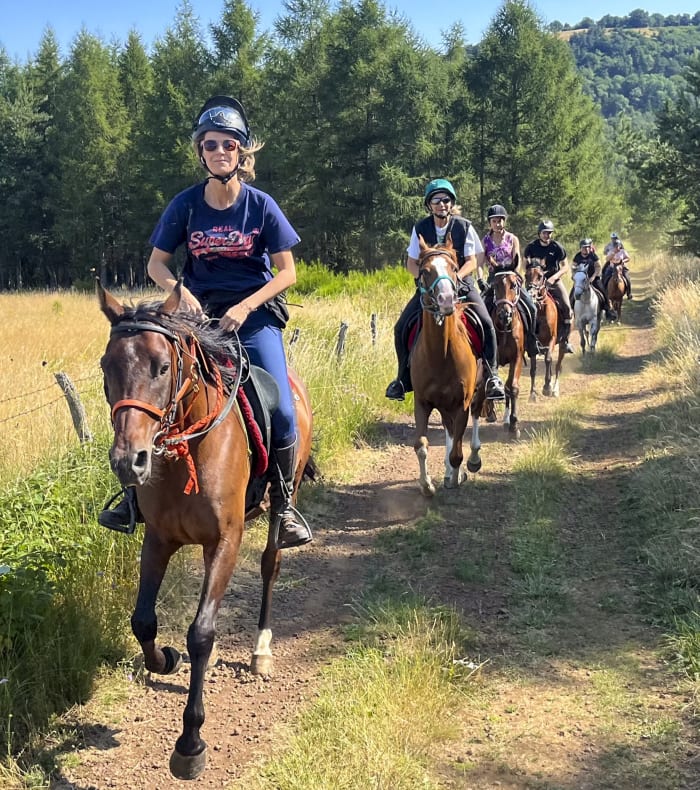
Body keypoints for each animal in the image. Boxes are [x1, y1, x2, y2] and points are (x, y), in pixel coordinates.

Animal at [97, 280, 314, 780]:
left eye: (161, 366)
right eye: (106, 367)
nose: (129, 461)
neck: (190, 450)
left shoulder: (226, 542)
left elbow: (200, 632)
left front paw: (190, 744)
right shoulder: (158, 540)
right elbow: (143, 621)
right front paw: (165, 659)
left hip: (282, 500)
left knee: (271, 565)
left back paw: (261, 649)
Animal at [410, 237, 486, 497]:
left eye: (453, 268)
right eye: (425, 271)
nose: (445, 300)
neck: (440, 355)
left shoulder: (462, 403)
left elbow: (457, 452)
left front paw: (455, 477)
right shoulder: (422, 402)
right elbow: (421, 444)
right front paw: (427, 485)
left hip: (480, 390)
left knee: (474, 419)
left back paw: (471, 462)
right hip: (443, 405)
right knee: (449, 430)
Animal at [525, 260, 565, 399]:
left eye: (540, 276)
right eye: (526, 275)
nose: (531, 294)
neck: (541, 311)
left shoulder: (552, 339)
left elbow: (548, 360)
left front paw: (547, 387)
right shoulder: (532, 344)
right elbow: (533, 369)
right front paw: (532, 393)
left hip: (562, 344)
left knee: (557, 365)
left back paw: (555, 389)